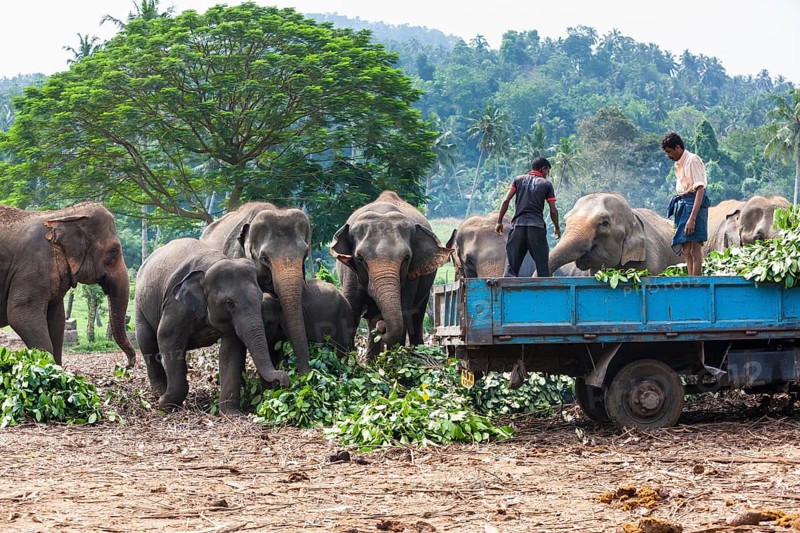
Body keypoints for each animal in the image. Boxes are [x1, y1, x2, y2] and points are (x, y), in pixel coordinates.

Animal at [0, 202, 136, 367]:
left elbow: (57, 319)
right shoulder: (33, 267)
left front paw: (57, 370)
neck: (62, 215)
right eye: (114, 251)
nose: (127, 365)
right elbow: (20, 315)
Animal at [134, 238, 289, 413]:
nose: (282, 380)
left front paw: (232, 413)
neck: (213, 263)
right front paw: (164, 405)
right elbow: (167, 339)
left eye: (259, 297)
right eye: (230, 303)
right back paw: (159, 392)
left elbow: (230, 351)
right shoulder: (176, 305)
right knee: (147, 343)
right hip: (140, 305)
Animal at [330, 191, 452, 356]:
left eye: (406, 258)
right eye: (360, 258)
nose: (382, 326)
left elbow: (403, 311)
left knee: (417, 316)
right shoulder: (350, 272)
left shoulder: (410, 276)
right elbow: (351, 309)